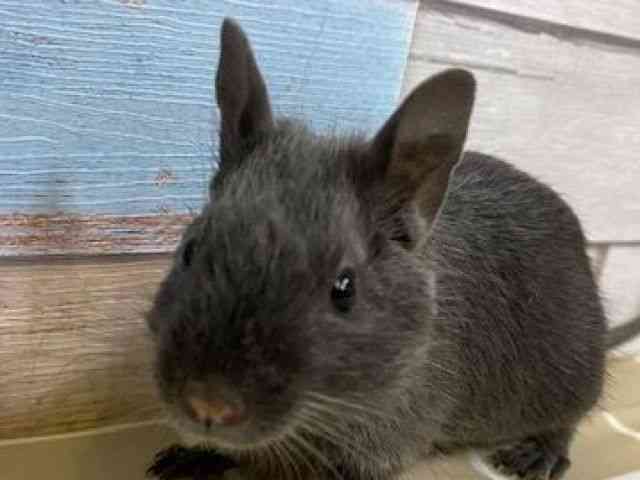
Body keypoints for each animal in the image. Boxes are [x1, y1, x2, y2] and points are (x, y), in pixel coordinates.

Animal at [146, 18, 640, 480]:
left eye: (345, 289)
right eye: (189, 251)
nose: (207, 406)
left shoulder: (391, 436)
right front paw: (195, 455)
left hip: (570, 377)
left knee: (570, 418)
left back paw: (539, 452)